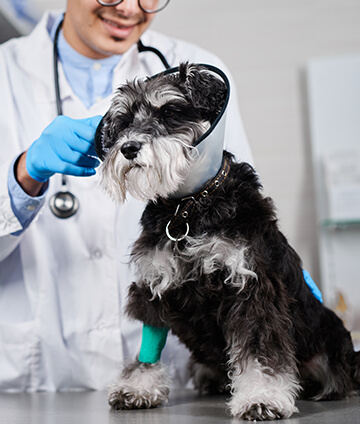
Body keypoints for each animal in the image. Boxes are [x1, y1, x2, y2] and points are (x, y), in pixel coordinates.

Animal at [95, 63, 360, 420]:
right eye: (124, 122)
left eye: (170, 112)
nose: (128, 148)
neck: (189, 206)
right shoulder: (155, 286)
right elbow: (148, 347)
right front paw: (138, 387)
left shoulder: (251, 287)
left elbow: (259, 348)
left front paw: (262, 397)